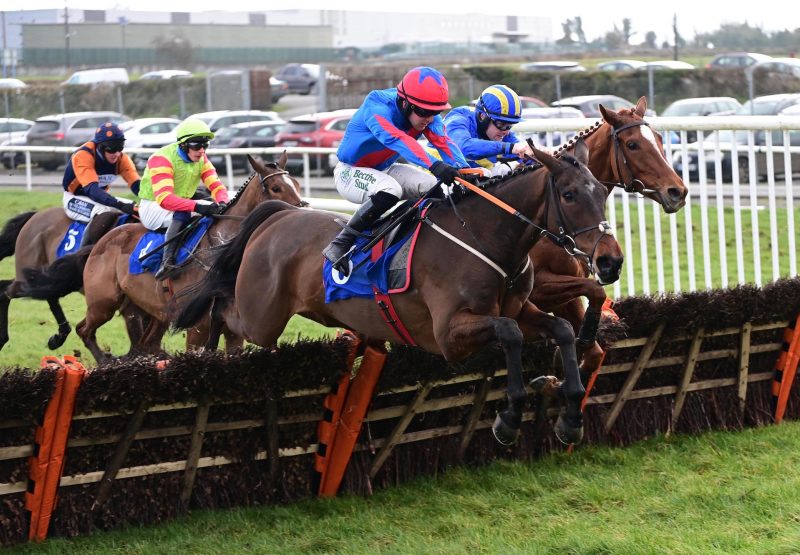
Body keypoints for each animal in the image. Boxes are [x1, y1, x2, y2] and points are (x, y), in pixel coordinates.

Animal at [69, 154, 304, 362]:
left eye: (297, 184)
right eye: (275, 188)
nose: (300, 214)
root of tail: (102, 240)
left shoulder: (234, 331)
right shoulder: (198, 328)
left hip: (150, 310)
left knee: (146, 343)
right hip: (103, 303)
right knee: (83, 330)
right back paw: (105, 360)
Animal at [175, 143, 624, 448]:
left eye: (602, 192)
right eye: (569, 195)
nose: (610, 261)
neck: (485, 235)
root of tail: (280, 214)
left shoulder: (521, 309)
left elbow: (561, 328)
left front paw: (569, 413)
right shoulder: (449, 335)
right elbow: (510, 334)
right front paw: (509, 418)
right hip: (261, 317)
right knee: (221, 308)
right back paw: (202, 352)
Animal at [524, 96, 688, 374]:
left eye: (658, 138)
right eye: (632, 144)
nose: (678, 191)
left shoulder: (568, 293)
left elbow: (593, 353)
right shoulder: (537, 287)